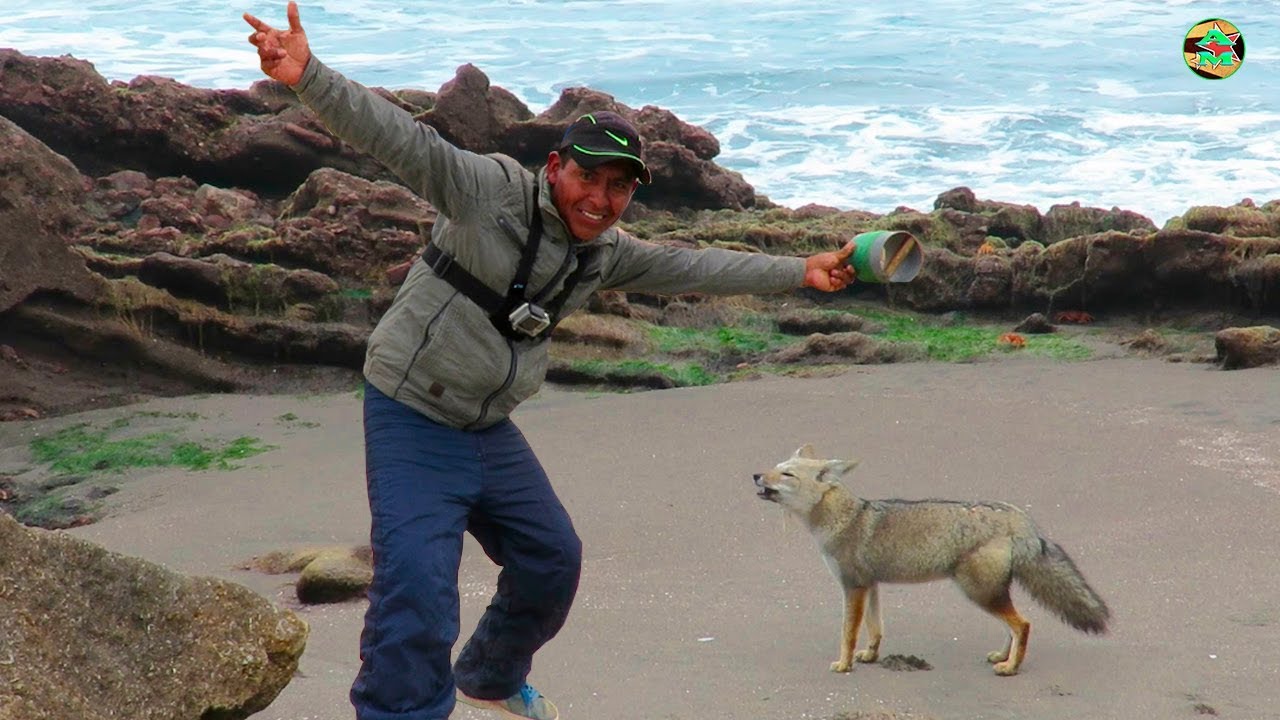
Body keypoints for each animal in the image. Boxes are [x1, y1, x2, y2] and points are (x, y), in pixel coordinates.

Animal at [753, 445, 1110, 676]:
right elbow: (875, 628)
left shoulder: (852, 587)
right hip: (987, 593)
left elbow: (847, 633)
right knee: (1013, 626)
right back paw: (1003, 656)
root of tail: (1016, 515)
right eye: (773, 468)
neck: (847, 517)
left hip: (978, 593)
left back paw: (1010, 667)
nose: (755, 475)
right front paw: (870, 655)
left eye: (786, 474)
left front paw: (844, 664)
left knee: (1022, 624)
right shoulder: (871, 585)